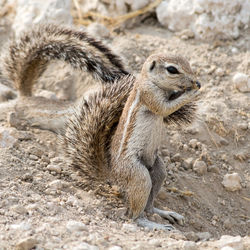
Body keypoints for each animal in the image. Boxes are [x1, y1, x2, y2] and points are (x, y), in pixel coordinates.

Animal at [1, 24, 201, 231]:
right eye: (172, 69)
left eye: (187, 63)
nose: (195, 81)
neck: (150, 81)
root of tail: (112, 174)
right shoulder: (149, 95)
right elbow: (163, 107)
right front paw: (191, 92)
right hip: (137, 174)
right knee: (133, 214)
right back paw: (151, 223)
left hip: (157, 167)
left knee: (150, 202)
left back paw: (163, 213)